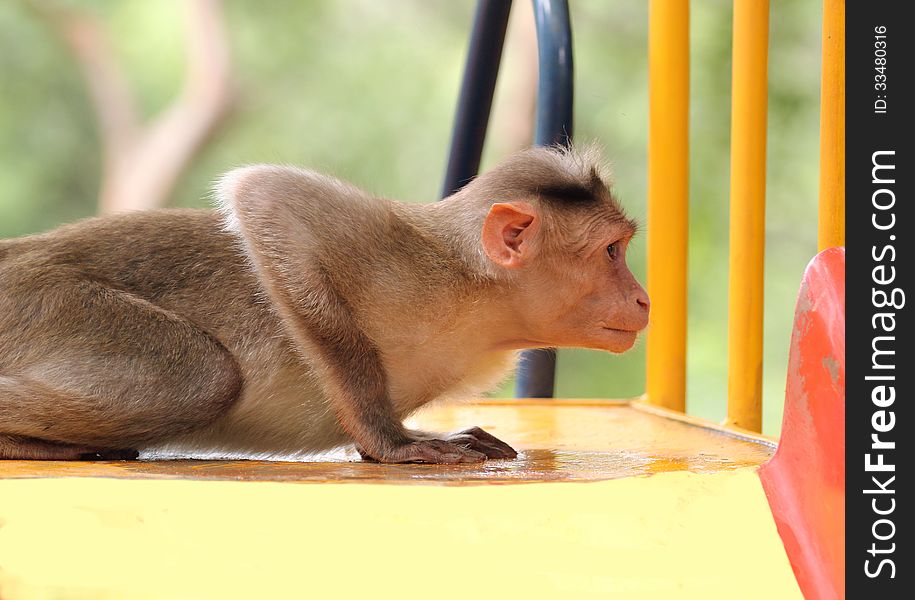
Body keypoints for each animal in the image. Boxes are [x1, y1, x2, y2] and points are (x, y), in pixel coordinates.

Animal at [0, 145, 652, 464]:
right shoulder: (406, 258)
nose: (643, 299)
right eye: (611, 251)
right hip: (41, 305)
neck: (479, 297)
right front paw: (388, 441)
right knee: (200, 379)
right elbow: (268, 198)